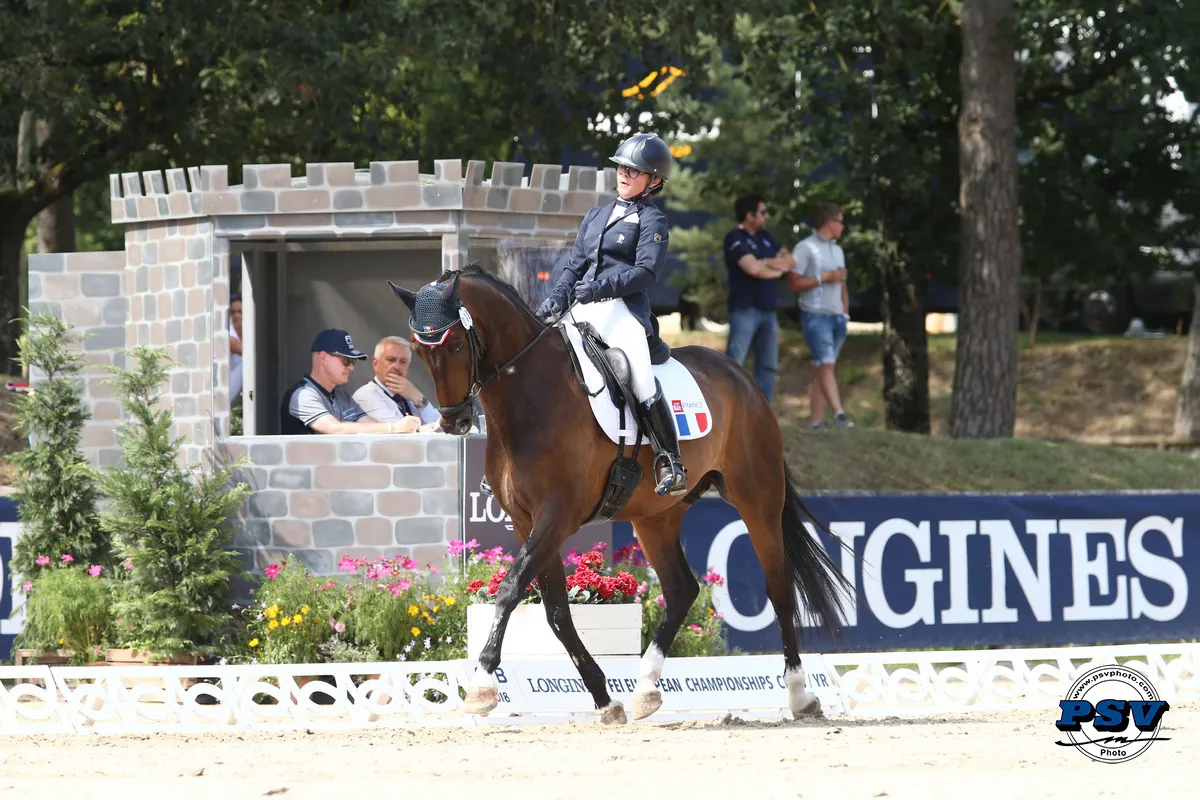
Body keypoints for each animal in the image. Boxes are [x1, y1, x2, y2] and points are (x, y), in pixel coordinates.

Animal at [390, 265, 850, 724]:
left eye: (453, 345)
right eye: (418, 349)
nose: (453, 421)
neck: (530, 396)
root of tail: (740, 375)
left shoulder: (556, 516)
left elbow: (510, 590)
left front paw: (483, 685)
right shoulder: (527, 522)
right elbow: (557, 613)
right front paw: (604, 699)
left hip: (758, 499)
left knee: (778, 587)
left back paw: (800, 695)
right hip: (656, 516)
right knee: (682, 589)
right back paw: (645, 689)